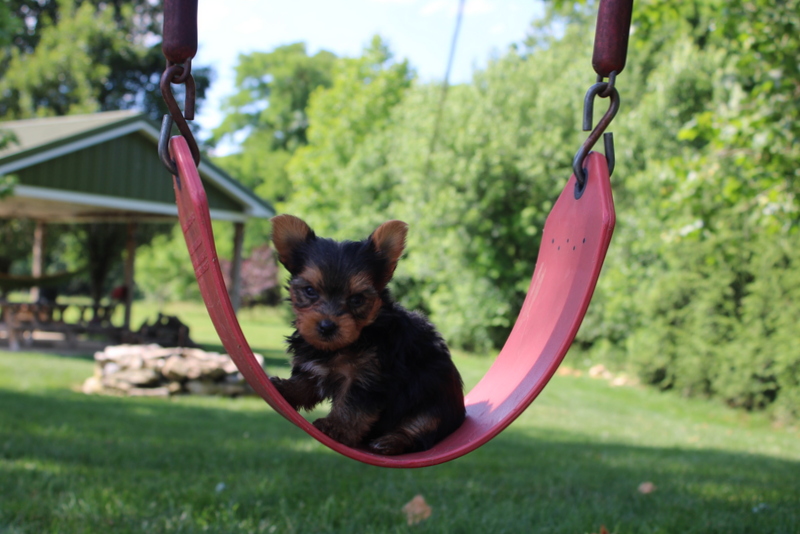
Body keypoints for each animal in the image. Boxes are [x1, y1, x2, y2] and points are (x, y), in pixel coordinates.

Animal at [270, 215, 466, 456]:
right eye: (309, 291)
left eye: (357, 299)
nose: (327, 326)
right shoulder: (313, 367)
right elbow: (304, 385)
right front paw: (284, 388)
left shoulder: (367, 377)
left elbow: (353, 406)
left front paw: (336, 427)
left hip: (433, 404)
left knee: (419, 429)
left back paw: (390, 441)